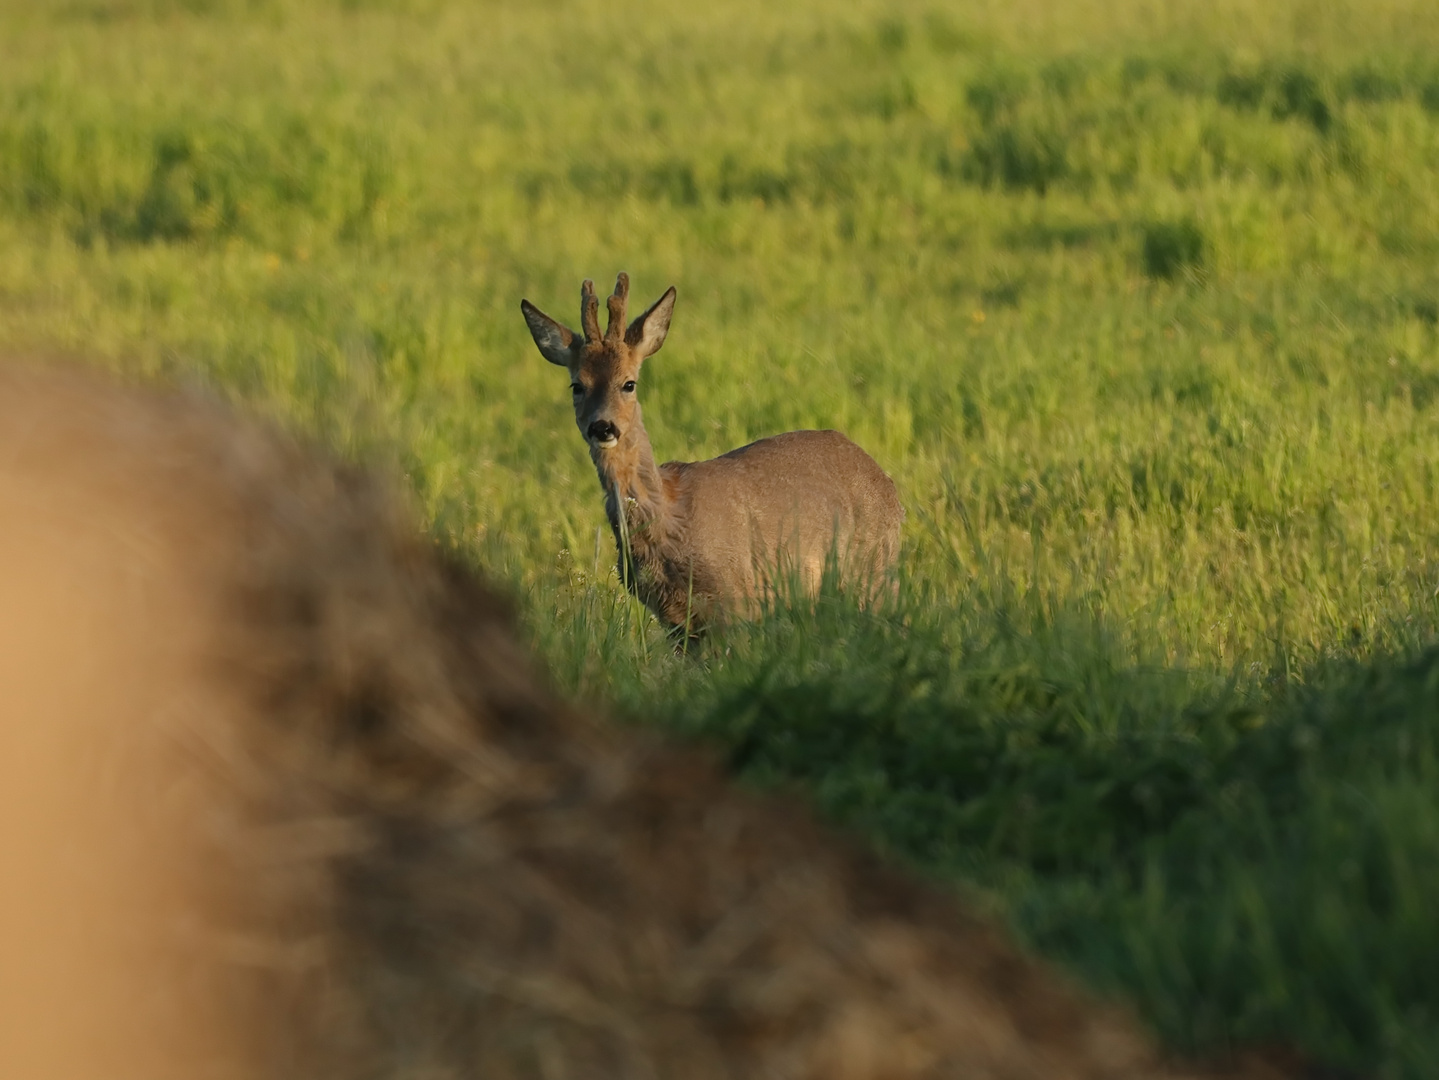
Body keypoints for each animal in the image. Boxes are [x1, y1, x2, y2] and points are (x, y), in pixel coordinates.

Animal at [523, 274, 903, 638]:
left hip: (873, 569)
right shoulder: (676, 621)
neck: (670, 518)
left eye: (628, 383)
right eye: (577, 385)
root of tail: (889, 486)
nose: (603, 427)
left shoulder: (738, 599)